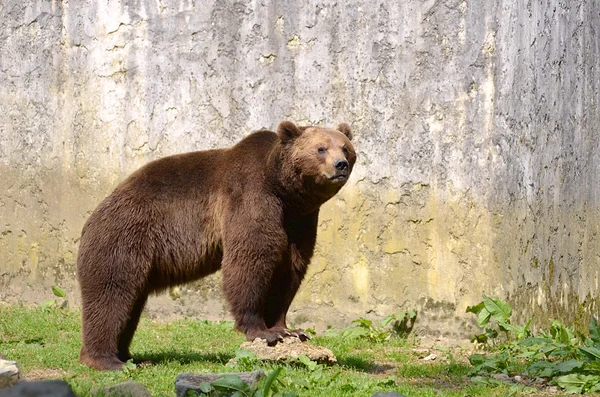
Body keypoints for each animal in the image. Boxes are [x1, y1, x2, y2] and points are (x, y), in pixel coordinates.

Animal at [77, 120, 354, 368]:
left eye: (345, 147)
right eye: (321, 148)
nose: (340, 164)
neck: (283, 190)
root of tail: (92, 216)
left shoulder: (300, 220)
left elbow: (289, 269)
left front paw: (290, 330)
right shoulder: (251, 197)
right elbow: (251, 260)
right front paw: (263, 331)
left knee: (130, 306)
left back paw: (129, 356)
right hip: (126, 238)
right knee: (111, 296)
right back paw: (106, 360)